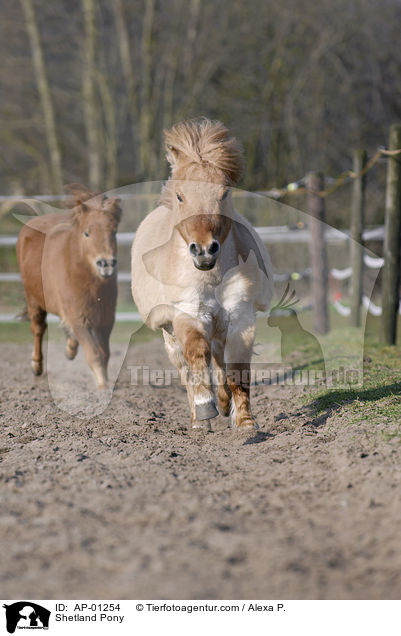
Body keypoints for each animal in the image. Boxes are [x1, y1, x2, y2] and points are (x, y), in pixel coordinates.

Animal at [16, 185, 122, 388]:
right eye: (87, 233)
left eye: (113, 232)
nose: (106, 264)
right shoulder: (78, 317)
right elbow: (94, 354)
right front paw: (102, 386)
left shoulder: (106, 317)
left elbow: (104, 353)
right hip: (33, 299)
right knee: (38, 329)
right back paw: (37, 365)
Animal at [133, 117, 274, 430]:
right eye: (180, 196)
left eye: (224, 193)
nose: (205, 251)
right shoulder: (187, 313)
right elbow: (197, 355)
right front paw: (204, 407)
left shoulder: (241, 315)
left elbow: (237, 370)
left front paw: (245, 421)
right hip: (170, 333)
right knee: (186, 368)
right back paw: (200, 418)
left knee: (220, 360)